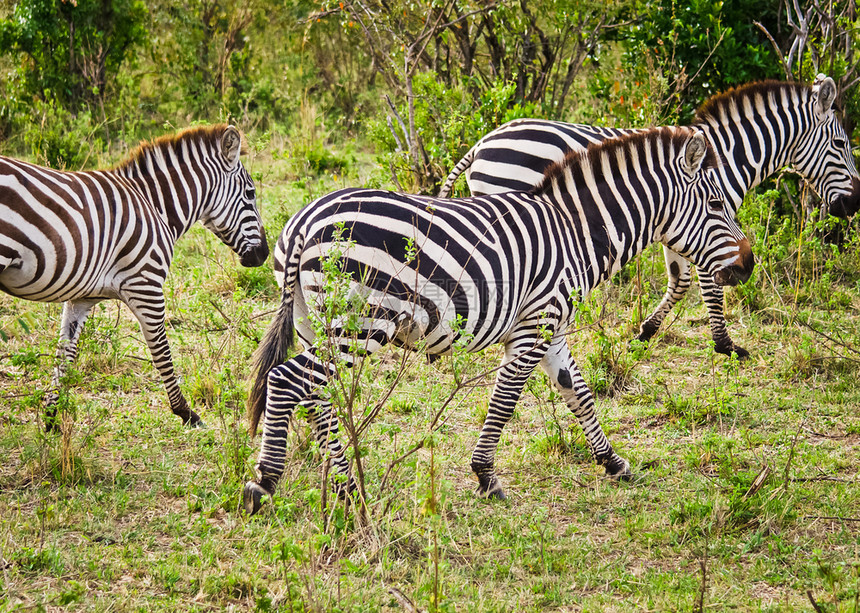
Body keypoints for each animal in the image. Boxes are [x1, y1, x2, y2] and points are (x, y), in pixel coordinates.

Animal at [0, 123, 268, 430]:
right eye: (250, 194)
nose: (264, 254)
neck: (156, 207)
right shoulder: (146, 285)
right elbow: (161, 350)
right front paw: (186, 413)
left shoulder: (81, 298)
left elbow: (65, 354)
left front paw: (51, 419)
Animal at [245, 125, 756, 512]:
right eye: (717, 205)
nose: (748, 266)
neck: (576, 232)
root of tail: (303, 221)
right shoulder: (536, 325)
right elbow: (506, 400)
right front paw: (486, 476)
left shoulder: (553, 328)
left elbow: (579, 393)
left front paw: (613, 462)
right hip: (362, 321)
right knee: (287, 380)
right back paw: (265, 482)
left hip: (314, 322)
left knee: (317, 395)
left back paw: (347, 487)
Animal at [440, 75, 856, 358]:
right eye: (841, 144)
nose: (854, 205)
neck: (726, 157)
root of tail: (484, 141)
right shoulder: (703, 225)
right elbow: (708, 286)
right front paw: (725, 344)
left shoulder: (682, 228)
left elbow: (680, 282)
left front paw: (645, 332)